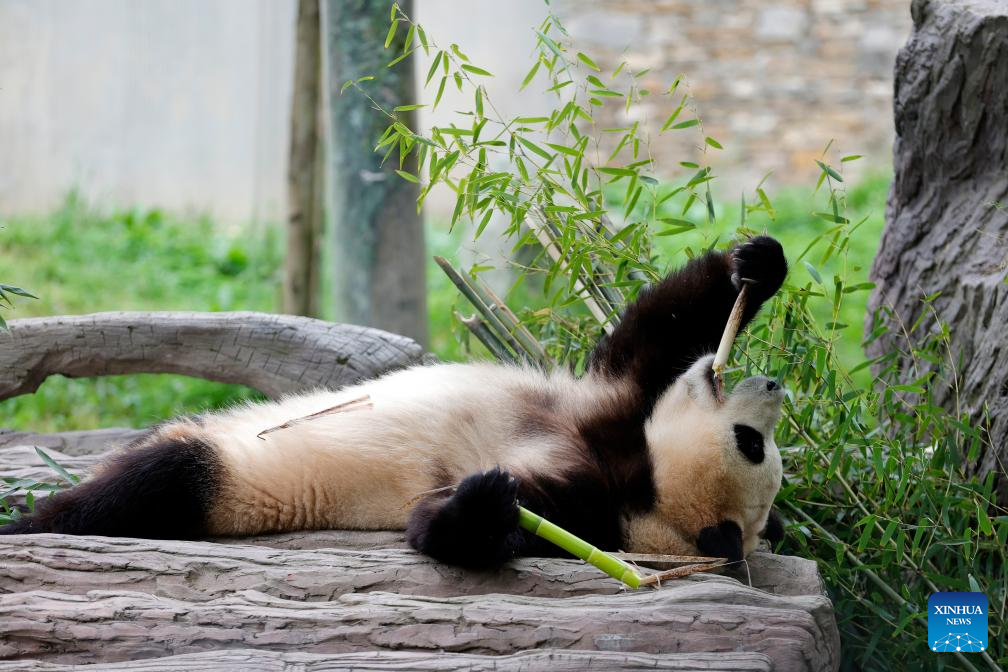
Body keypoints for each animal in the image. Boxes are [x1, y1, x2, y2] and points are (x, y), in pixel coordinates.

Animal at [0, 236, 786, 568]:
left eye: (753, 446)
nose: (774, 387)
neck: (642, 481)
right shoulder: (613, 410)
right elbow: (648, 336)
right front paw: (754, 264)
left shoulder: (595, 505)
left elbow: (457, 526)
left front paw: (485, 502)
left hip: (231, 478)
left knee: (153, 486)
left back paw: (34, 522)